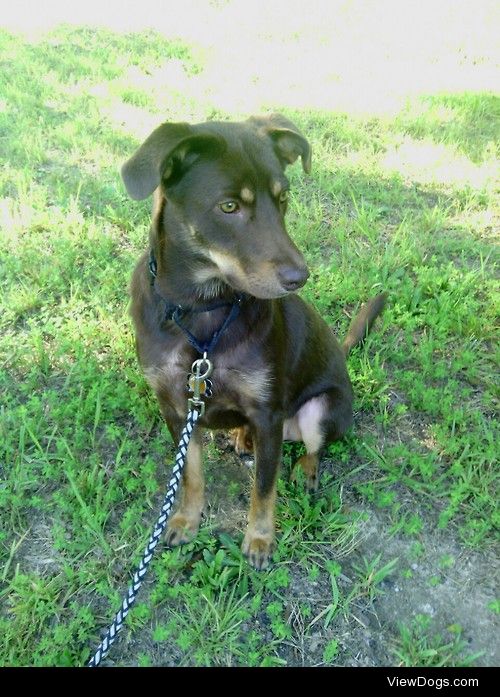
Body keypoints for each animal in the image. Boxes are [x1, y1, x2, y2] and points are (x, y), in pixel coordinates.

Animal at [122, 114, 386, 568]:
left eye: (284, 199)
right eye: (229, 207)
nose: (299, 278)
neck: (203, 310)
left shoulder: (268, 414)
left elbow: (264, 487)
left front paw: (260, 540)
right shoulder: (175, 406)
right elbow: (190, 474)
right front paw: (185, 520)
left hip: (317, 411)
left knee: (314, 447)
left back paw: (304, 469)